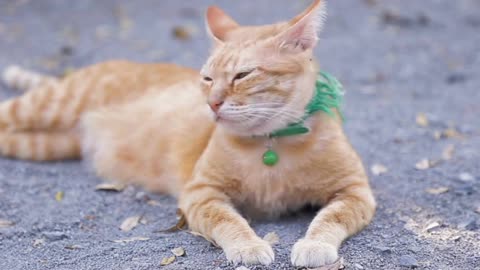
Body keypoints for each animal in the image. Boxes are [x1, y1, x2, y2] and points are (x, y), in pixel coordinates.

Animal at [0, 0, 376, 268]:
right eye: (207, 78)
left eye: (242, 75)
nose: (212, 103)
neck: (271, 146)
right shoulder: (201, 194)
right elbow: (229, 221)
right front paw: (250, 245)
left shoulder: (355, 192)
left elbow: (330, 218)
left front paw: (314, 245)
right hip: (49, 105)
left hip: (44, 144)